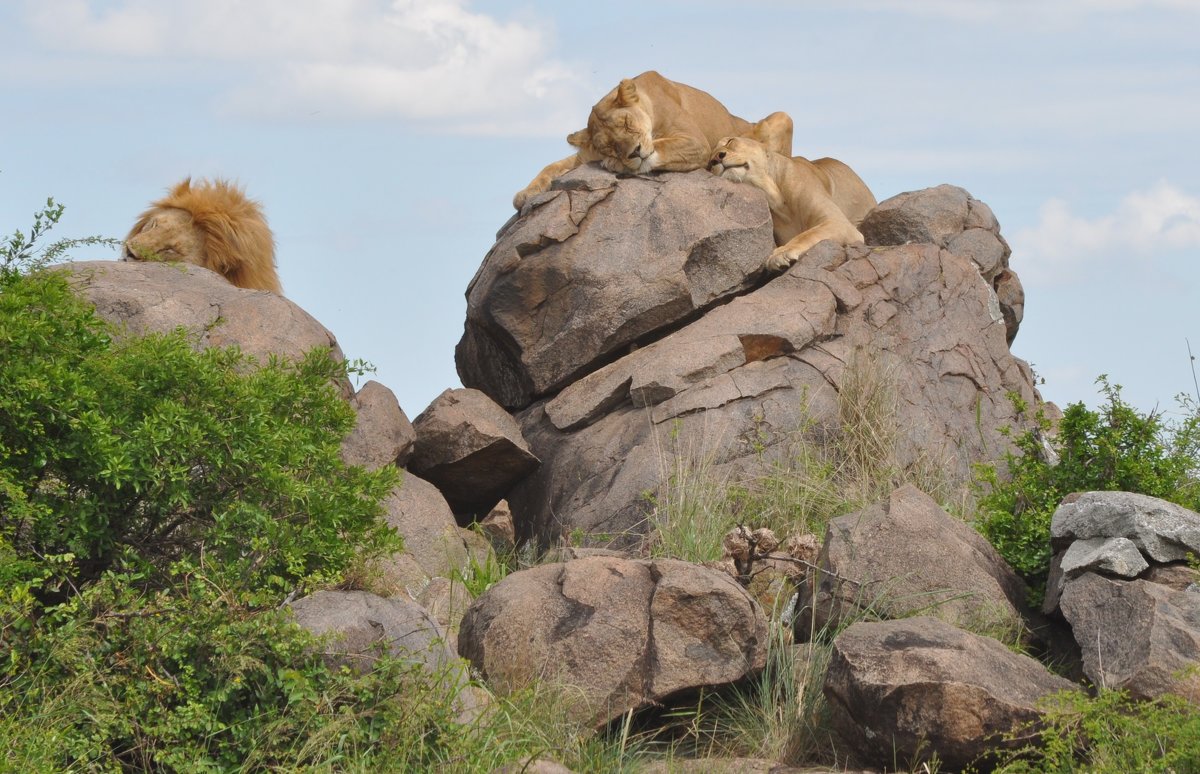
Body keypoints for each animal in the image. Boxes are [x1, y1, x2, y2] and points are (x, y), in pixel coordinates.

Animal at [511, 69, 792, 206]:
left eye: (626, 123)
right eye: (610, 146)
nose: (633, 151)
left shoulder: (696, 142)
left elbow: (659, 147)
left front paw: (619, 164)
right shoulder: (583, 156)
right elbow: (552, 166)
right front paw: (526, 193)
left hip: (782, 117)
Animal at [705, 137, 878, 273]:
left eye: (730, 141)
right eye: (709, 161)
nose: (716, 158)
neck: (773, 195)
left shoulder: (838, 222)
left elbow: (809, 234)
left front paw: (780, 254)